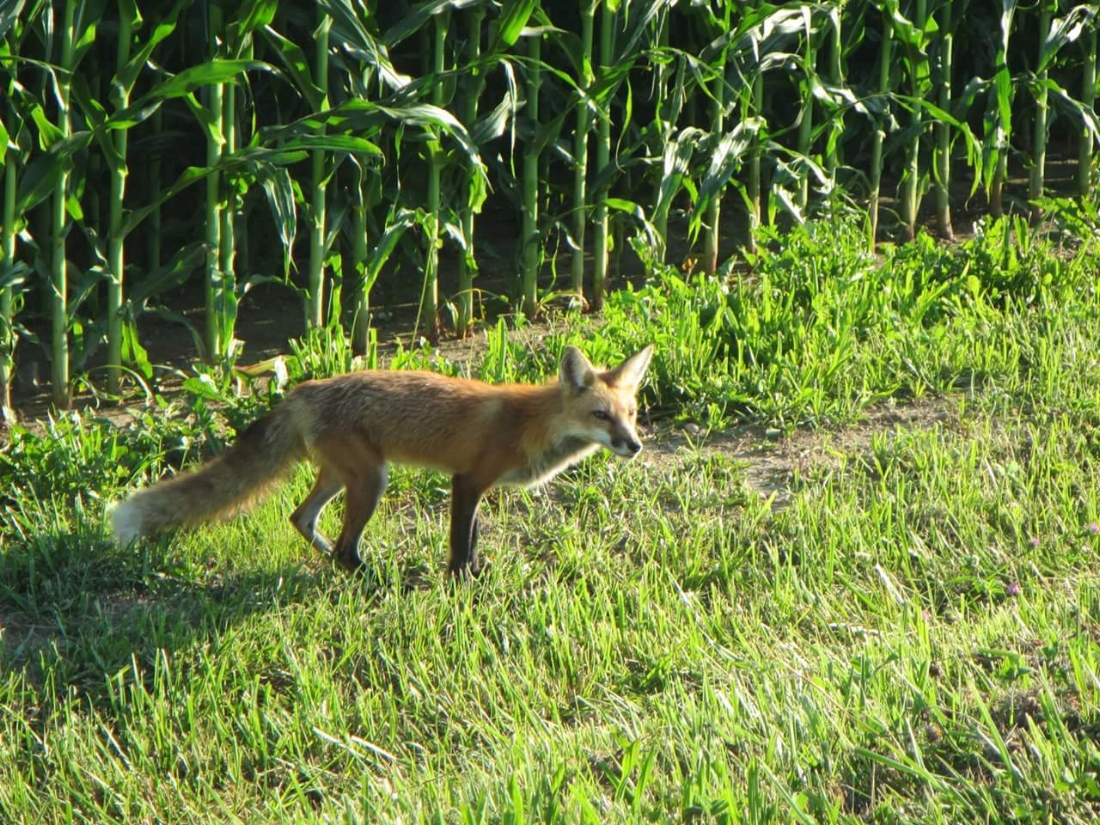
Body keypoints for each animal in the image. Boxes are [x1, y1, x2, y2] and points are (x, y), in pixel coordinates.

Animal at [113, 345, 651, 576]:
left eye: (630, 414)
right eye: (600, 415)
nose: (634, 446)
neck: (529, 423)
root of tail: (301, 391)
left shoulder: (474, 485)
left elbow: (474, 541)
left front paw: (477, 575)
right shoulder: (468, 479)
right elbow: (460, 546)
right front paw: (462, 585)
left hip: (344, 477)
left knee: (302, 519)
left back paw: (337, 563)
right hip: (373, 481)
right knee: (345, 547)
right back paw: (369, 576)